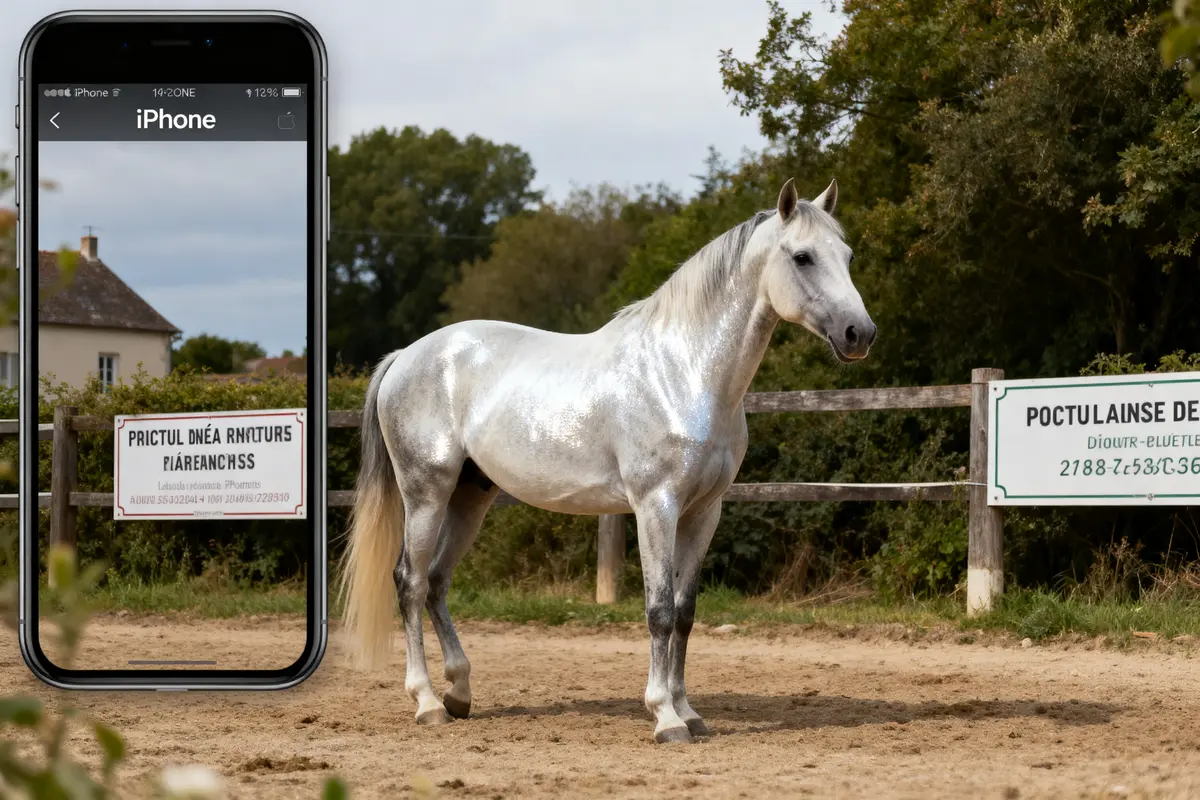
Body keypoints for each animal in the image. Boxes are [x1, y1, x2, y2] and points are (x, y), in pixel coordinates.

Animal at [338, 177, 876, 744]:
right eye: (802, 256)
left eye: (846, 254)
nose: (859, 334)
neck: (683, 371)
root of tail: (406, 356)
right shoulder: (655, 506)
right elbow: (659, 610)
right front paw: (665, 718)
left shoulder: (704, 512)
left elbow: (685, 612)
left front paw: (689, 712)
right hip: (426, 493)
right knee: (411, 581)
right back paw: (426, 703)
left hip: (471, 496)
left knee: (438, 581)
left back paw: (459, 693)